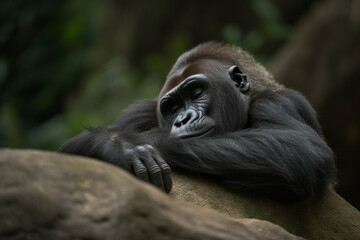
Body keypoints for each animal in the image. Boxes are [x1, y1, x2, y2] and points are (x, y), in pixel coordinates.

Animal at [59, 42, 338, 202]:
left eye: (196, 92)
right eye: (172, 108)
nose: (183, 119)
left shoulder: (282, 101)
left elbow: (299, 149)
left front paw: (131, 141)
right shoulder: (139, 112)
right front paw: (118, 146)